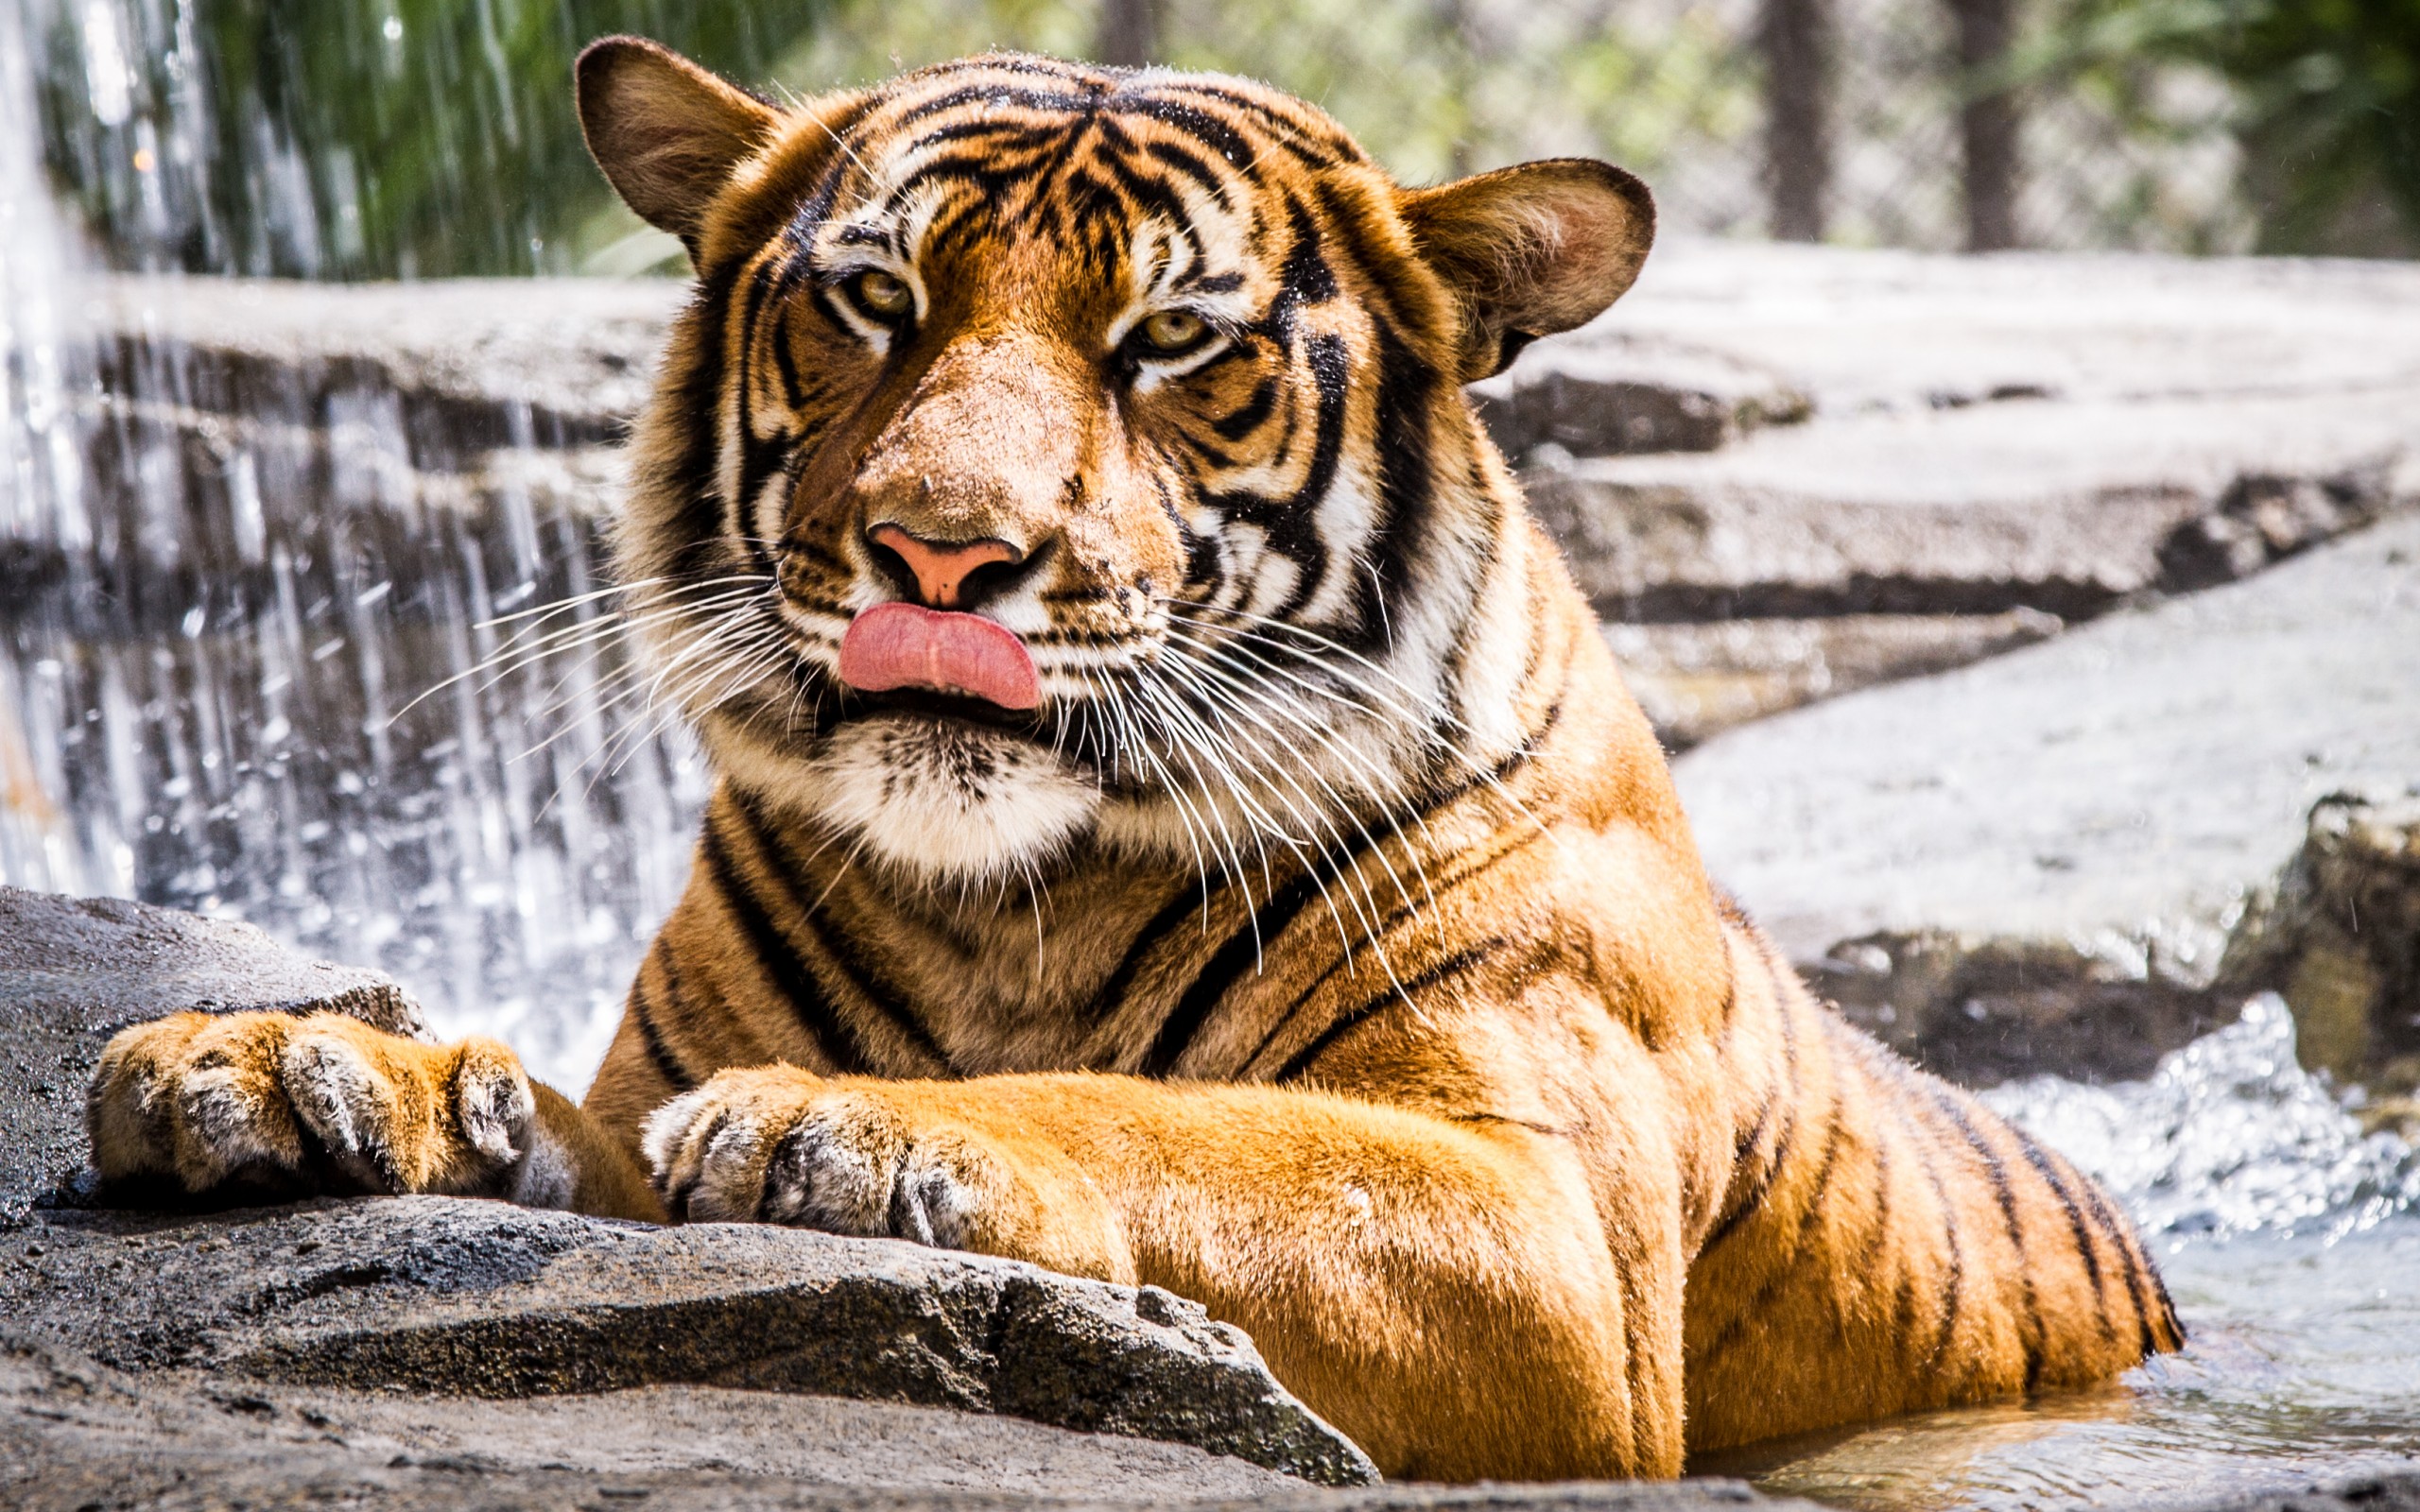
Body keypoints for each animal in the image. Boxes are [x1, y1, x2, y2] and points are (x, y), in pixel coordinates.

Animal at [85, 32, 2187, 1470]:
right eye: (875, 298)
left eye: (1172, 340)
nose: (939, 551)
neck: (1006, 898)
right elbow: (552, 1119)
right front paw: (284, 1063)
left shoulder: (1549, 1240)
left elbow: (1179, 1127)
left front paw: (857, 1126)